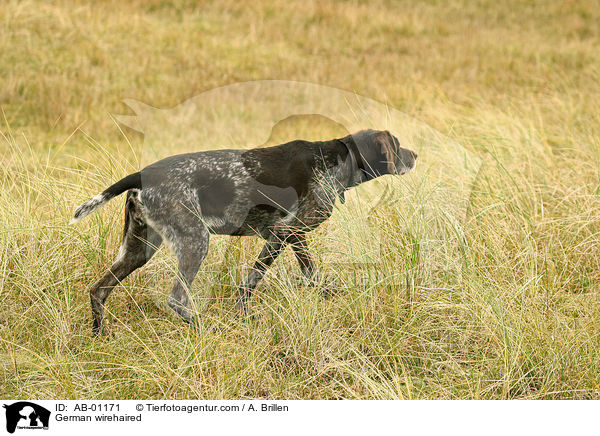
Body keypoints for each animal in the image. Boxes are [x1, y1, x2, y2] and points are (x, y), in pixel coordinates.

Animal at [71, 129, 418, 334]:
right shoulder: (283, 233)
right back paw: (207, 329)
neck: (338, 159)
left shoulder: (291, 237)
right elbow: (252, 282)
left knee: (98, 290)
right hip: (195, 241)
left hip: (138, 249)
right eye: (398, 145)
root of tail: (140, 175)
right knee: (177, 299)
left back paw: (101, 334)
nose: (415, 155)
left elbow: (309, 274)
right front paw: (244, 316)